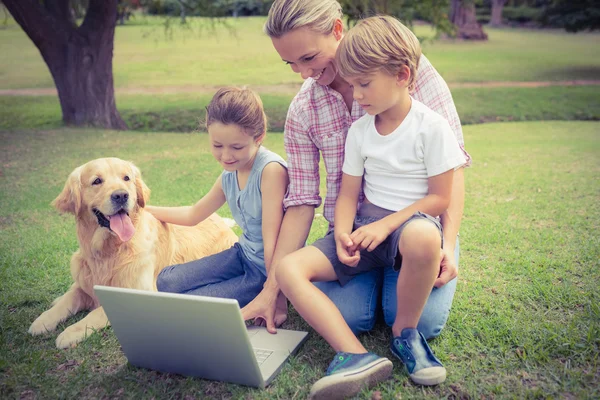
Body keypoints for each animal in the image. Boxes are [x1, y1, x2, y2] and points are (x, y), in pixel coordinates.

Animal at [28, 158, 238, 348]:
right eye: (97, 181)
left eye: (126, 178)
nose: (121, 195)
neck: (110, 250)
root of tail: (220, 219)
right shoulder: (84, 280)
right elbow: (69, 299)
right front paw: (42, 321)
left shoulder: (141, 291)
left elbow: (98, 311)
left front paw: (70, 332)